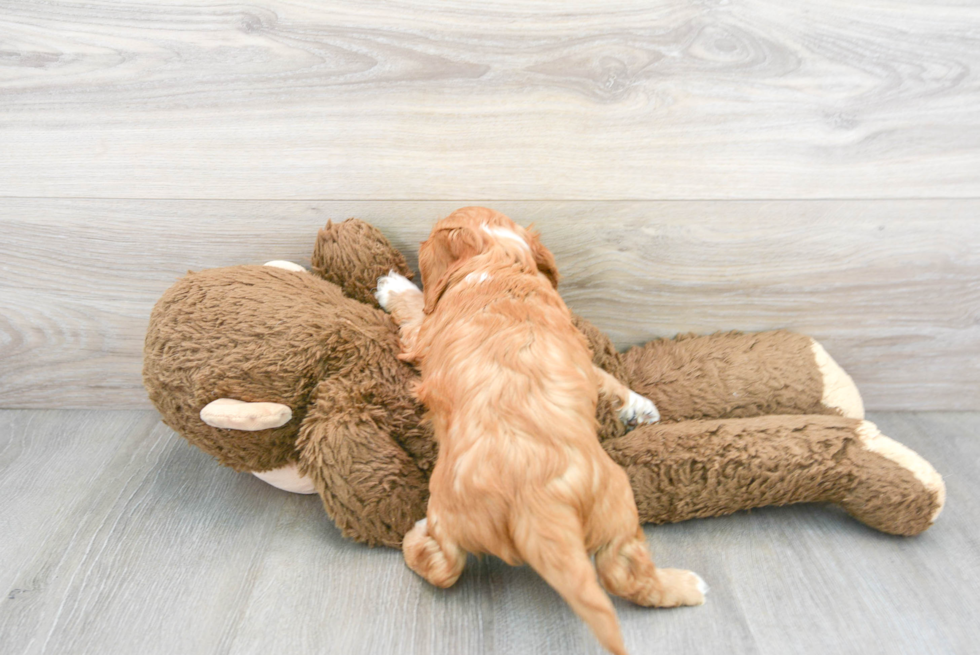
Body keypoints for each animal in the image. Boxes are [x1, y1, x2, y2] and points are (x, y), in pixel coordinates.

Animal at [376, 209, 704, 655]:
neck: (500, 261)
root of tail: (538, 497)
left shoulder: (422, 332)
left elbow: (414, 308)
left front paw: (392, 285)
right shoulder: (578, 352)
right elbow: (601, 375)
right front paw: (639, 406)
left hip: (448, 507)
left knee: (443, 566)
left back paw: (413, 536)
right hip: (618, 507)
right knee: (626, 574)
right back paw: (686, 585)